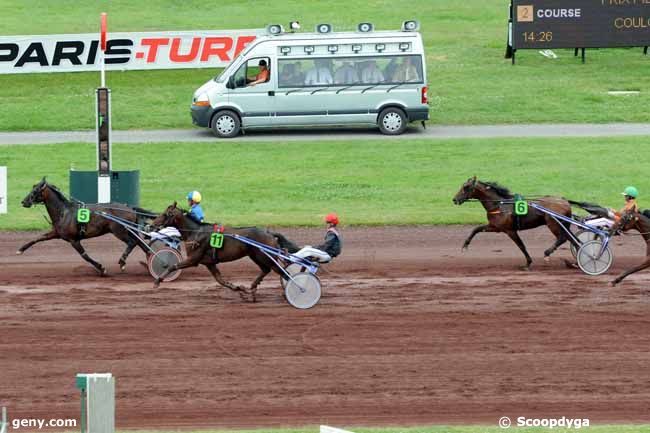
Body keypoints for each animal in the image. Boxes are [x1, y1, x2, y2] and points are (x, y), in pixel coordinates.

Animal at [18, 178, 152, 274]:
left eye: (35, 191)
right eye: (32, 188)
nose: (24, 202)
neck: (64, 212)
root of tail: (130, 208)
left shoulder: (73, 240)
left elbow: (85, 256)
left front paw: (101, 268)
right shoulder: (56, 233)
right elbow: (38, 238)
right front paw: (21, 249)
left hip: (119, 231)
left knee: (132, 243)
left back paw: (122, 262)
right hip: (129, 230)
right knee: (140, 243)